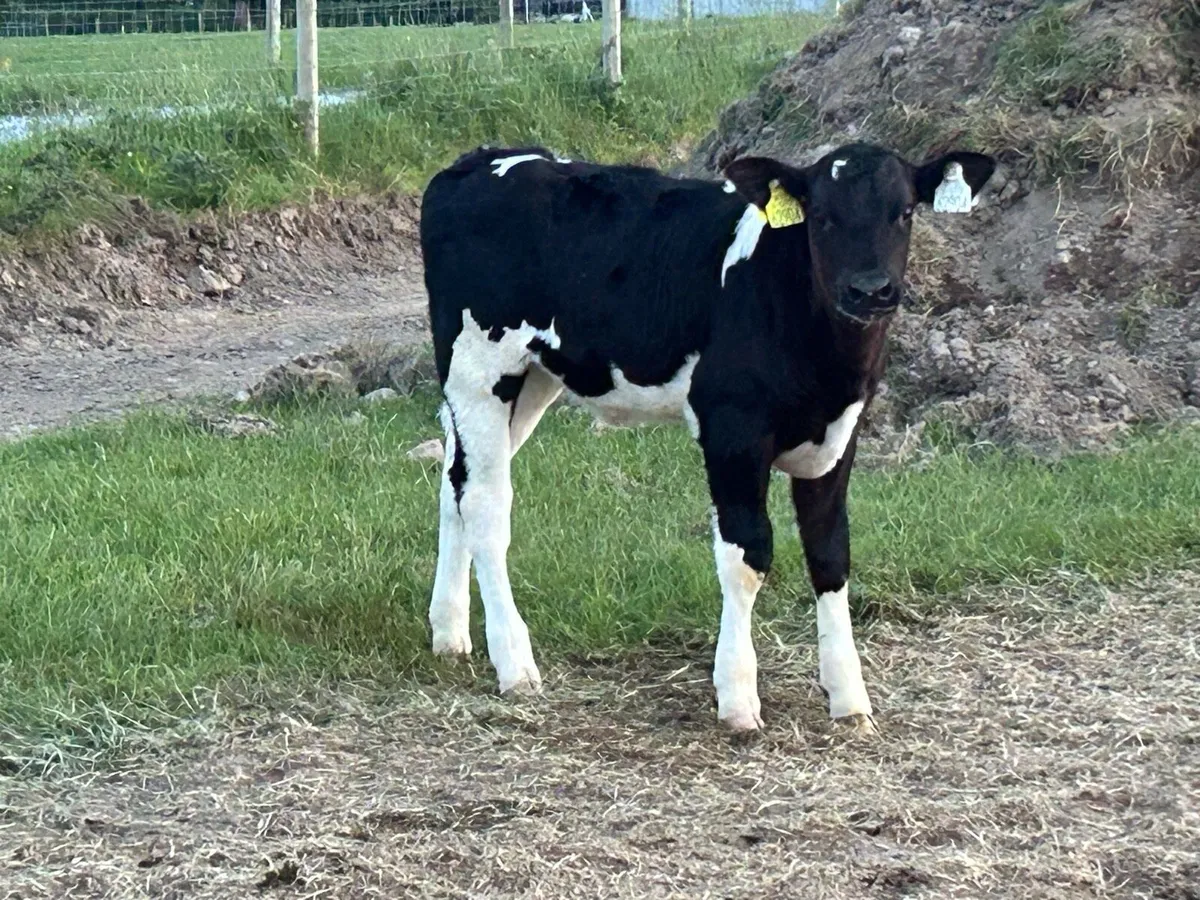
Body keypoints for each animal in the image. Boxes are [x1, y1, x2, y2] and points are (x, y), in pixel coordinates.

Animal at [419, 141, 996, 734]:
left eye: (903, 212)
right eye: (823, 216)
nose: (870, 290)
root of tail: (481, 159)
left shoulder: (839, 435)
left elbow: (831, 554)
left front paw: (848, 697)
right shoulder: (731, 429)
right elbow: (747, 556)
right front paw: (738, 698)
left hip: (532, 380)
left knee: (454, 482)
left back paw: (450, 632)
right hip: (478, 367)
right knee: (484, 503)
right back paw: (514, 662)